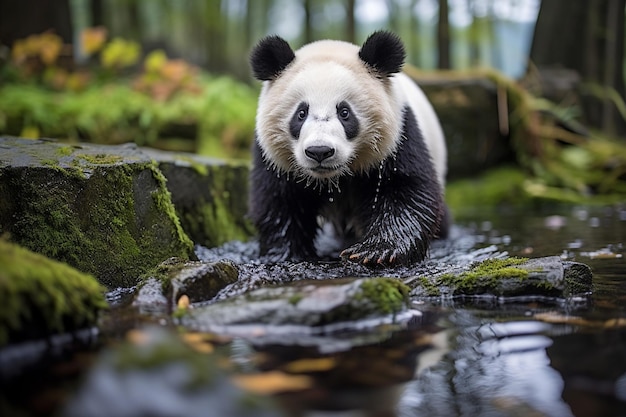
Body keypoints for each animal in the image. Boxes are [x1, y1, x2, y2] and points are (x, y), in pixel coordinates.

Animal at [246, 30, 446, 264]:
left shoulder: (399, 137)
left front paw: (376, 251)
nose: (320, 151)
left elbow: (405, 190)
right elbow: (278, 201)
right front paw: (286, 254)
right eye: (301, 113)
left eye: (344, 112)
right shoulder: (272, 157)